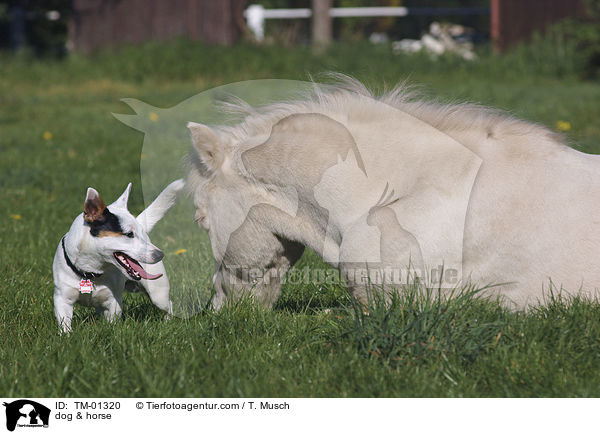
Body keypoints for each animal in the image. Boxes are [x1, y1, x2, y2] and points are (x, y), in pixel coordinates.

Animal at [52, 179, 184, 332]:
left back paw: (168, 321)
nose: (160, 255)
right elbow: (64, 324)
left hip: (158, 294)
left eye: (142, 233)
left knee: (168, 305)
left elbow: (112, 322)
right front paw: (67, 336)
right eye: (129, 234)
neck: (91, 271)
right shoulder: (62, 299)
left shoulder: (113, 302)